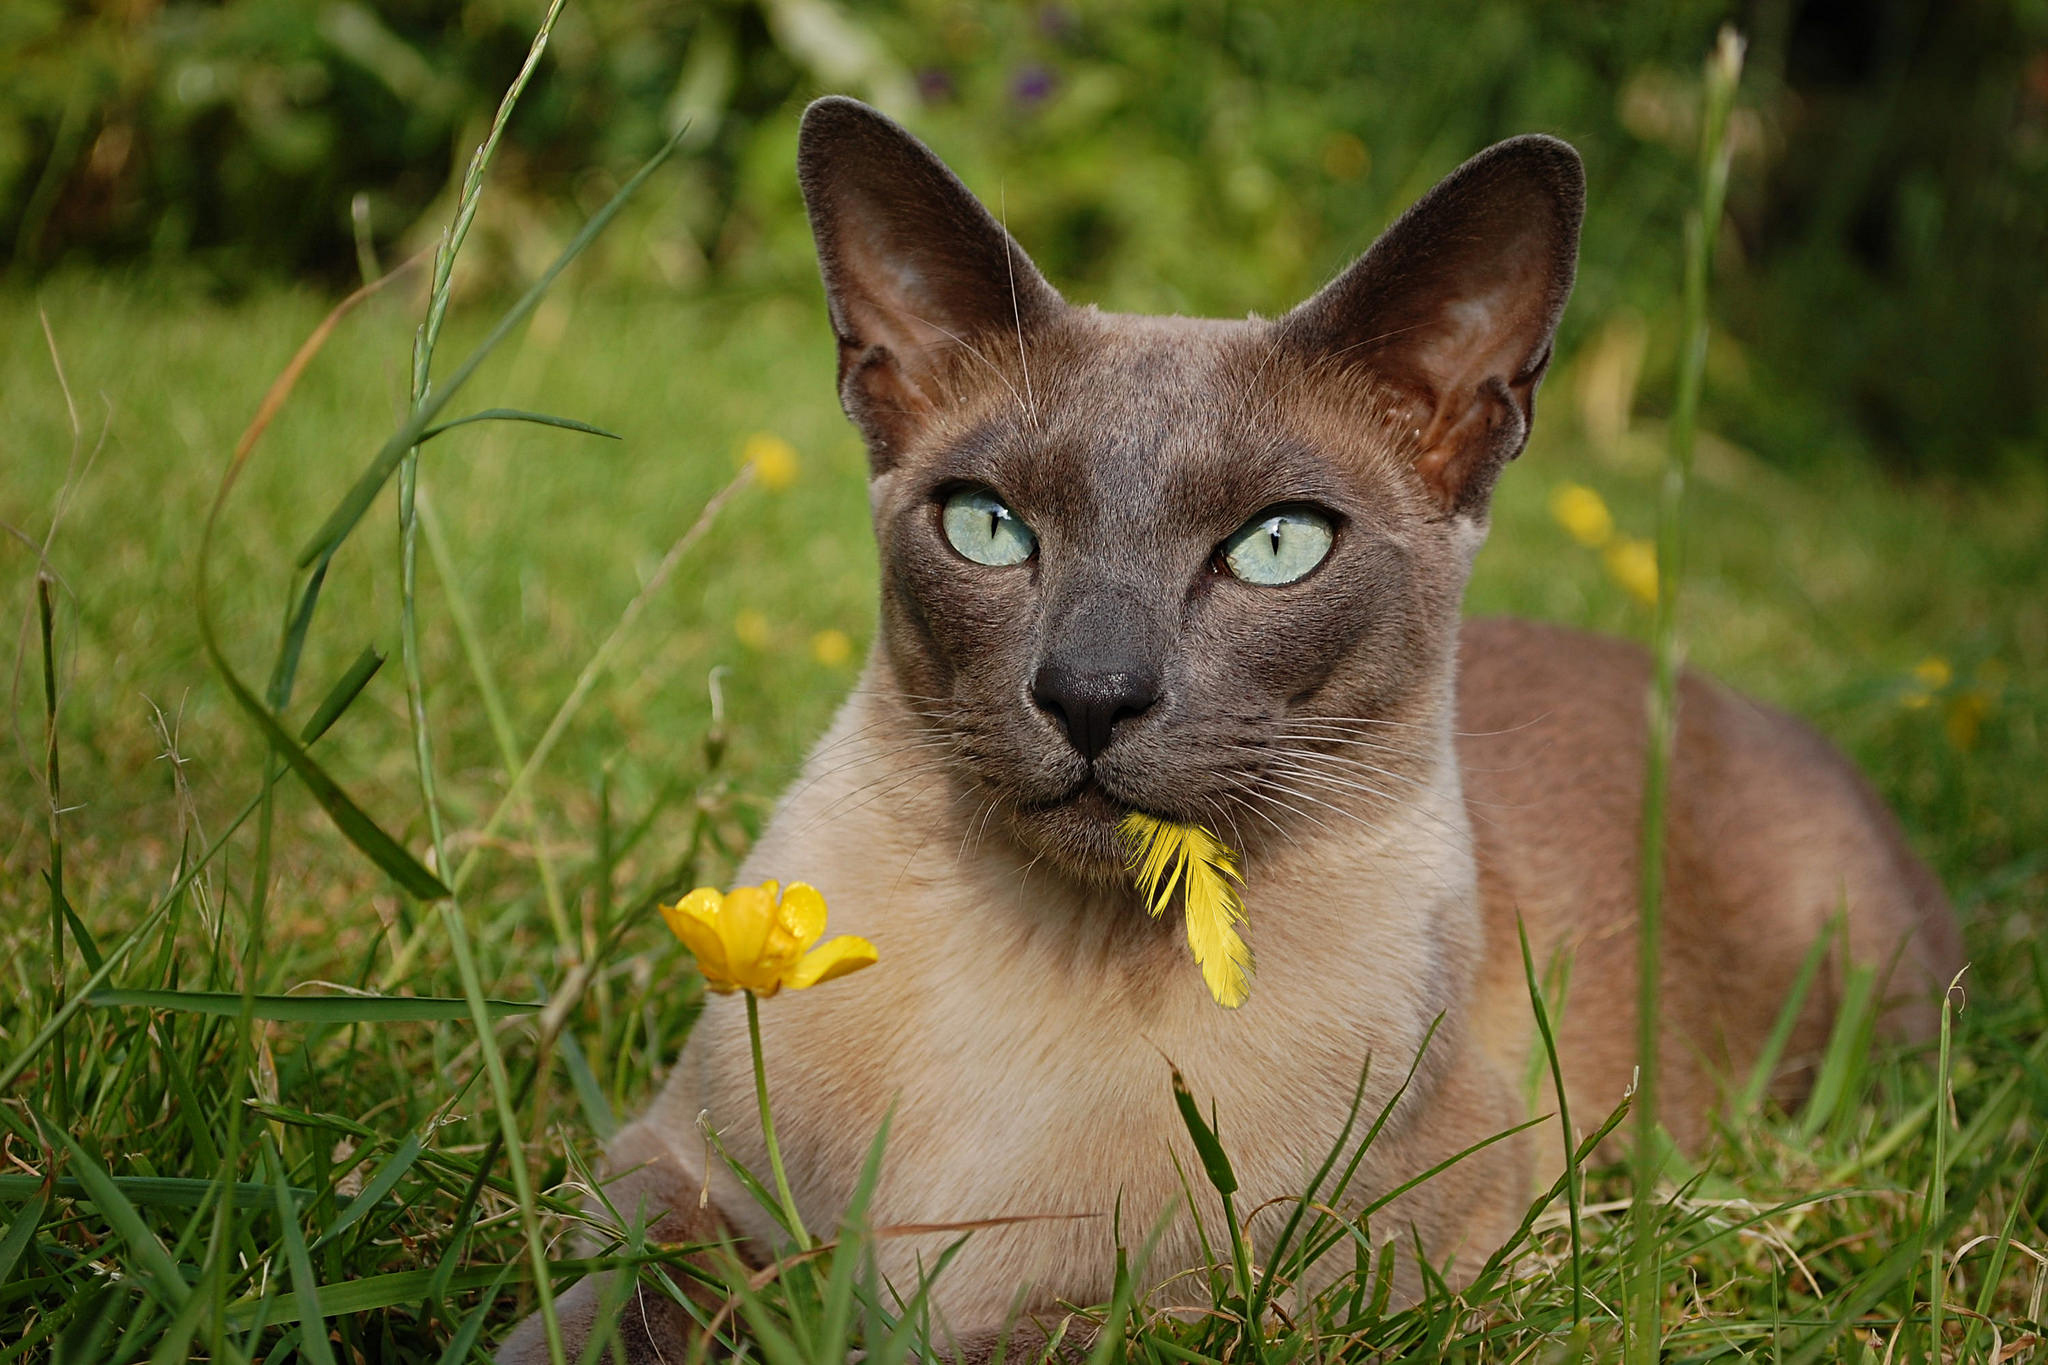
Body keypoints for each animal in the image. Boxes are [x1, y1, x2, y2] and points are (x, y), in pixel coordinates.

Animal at [499, 98, 1966, 1365]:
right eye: (988, 528)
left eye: (1275, 548)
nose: (1090, 693)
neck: (1050, 972)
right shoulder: (678, 1174)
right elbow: (622, 1306)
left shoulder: (1300, 1283)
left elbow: (1034, 1336)